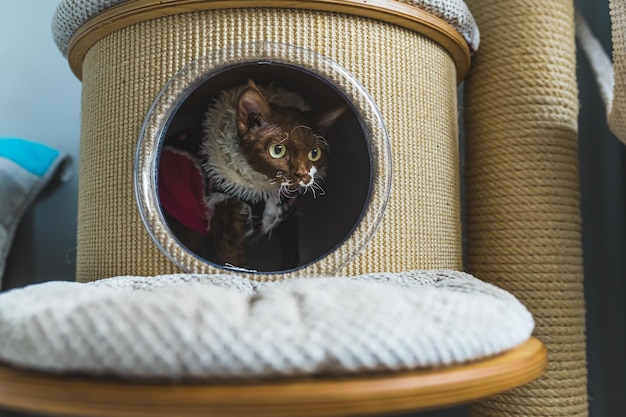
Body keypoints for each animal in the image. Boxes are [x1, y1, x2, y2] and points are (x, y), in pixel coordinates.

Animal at [157, 79, 346, 268]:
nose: (303, 175)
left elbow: (292, 253)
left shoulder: (288, 219)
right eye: (277, 150)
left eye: (314, 153)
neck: (270, 192)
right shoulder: (226, 230)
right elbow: (234, 265)